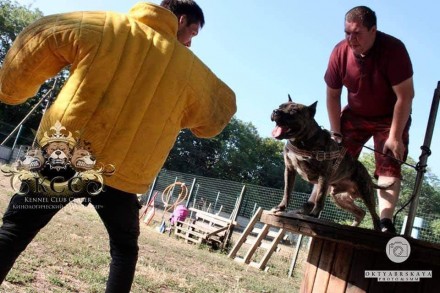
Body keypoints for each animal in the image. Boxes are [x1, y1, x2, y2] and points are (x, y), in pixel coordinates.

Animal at [270, 94, 384, 229]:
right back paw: (354, 225)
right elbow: (287, 191)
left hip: (366, 194)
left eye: (293, 111)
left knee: (374, 215)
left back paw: (376, 229)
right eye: (280, 106)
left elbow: (319, 197)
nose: (275, 111)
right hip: (340, 198)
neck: (301, 142)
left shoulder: (323, 176)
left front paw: (314, 214)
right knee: (361, 212)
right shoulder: (289, 170)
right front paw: (281, 207)